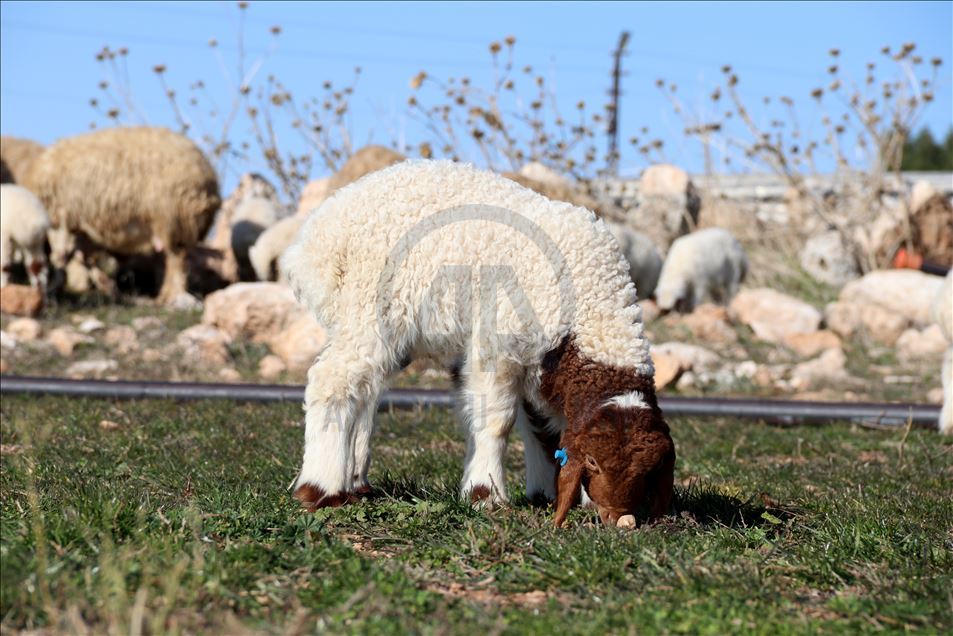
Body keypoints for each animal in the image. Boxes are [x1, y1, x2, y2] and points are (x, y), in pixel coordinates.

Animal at [25, 126, 221, 304]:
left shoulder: (61, 219)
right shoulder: (78, 226)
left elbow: (62, 257)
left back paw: (172, 295)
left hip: (172, 217)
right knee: (174, 258)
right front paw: (108, 288)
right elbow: (81, 257)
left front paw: (55, 290)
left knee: (176, 259)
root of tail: (208, 179)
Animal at [282, 159, 676, 528]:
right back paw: (321, 489)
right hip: (368, 303)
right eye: (593, 461)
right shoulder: (500, 342)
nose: (618, 516)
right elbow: (496, 419)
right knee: (334, 380)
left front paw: (546, 492)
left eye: (648, 472)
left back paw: (356, 481)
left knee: (366, 390)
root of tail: (315, 237)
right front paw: (486, 495)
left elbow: (541, 427)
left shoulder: (537, 359)